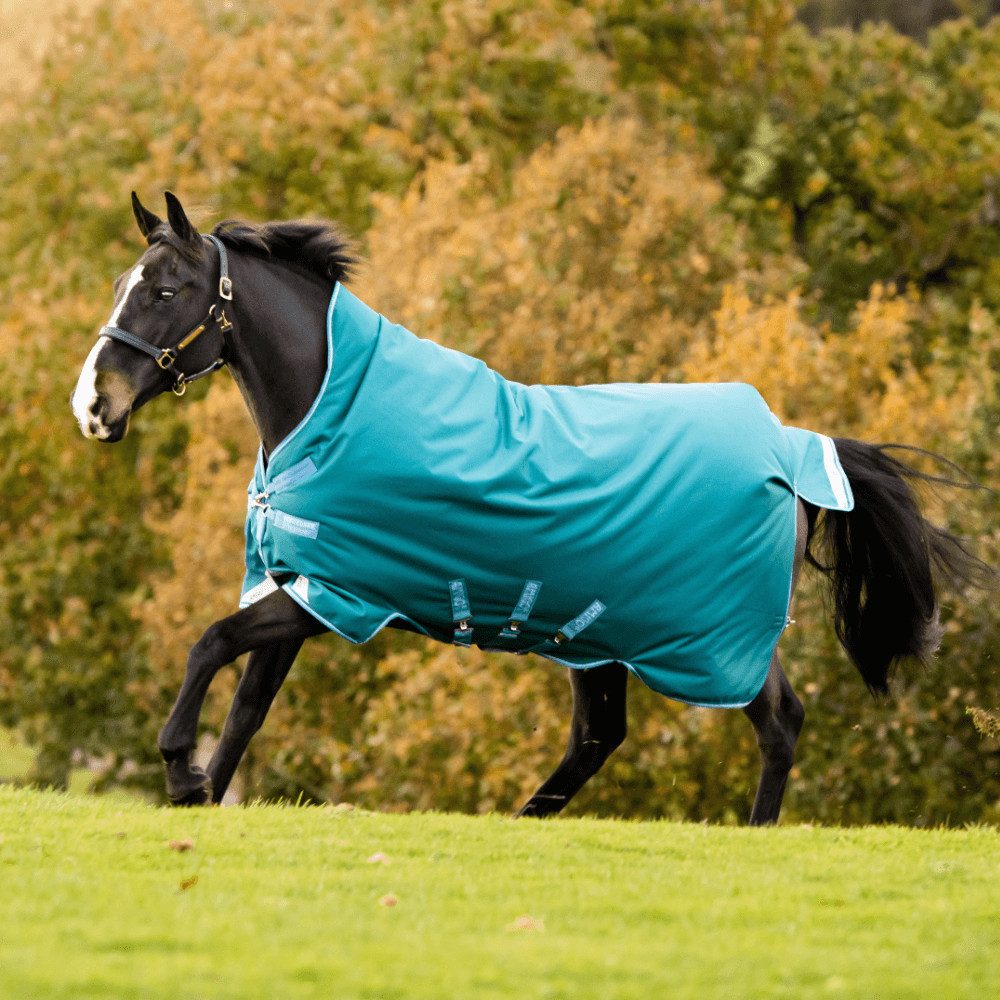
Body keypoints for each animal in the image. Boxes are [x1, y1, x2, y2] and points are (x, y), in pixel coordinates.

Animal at [71, 192, 991, 823]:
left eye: (166, 289)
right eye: (122, 283)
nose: (94, 406)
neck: (333, 408)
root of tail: (795, 448)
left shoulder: (341, 595)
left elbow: (209, 645)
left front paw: (178, 770)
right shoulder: (302, 588)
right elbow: (247, 706)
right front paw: (204, 793)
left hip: (712, 634)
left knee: (780, 722)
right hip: (601, 635)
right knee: (599, 737)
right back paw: (526, 820)